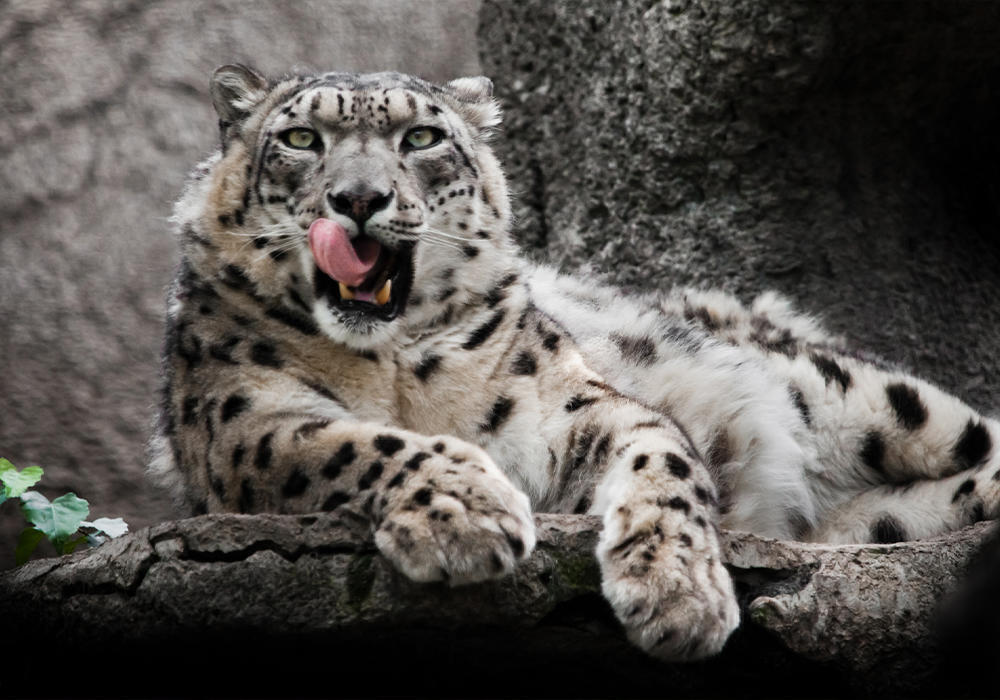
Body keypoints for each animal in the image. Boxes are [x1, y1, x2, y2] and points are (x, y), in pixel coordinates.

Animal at [148, 65, 1000, 661]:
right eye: (301, 140)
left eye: (421, 139)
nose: (358, 199)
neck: (390, 365)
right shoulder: (246, 422)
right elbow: (358, 442)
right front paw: (465, 512)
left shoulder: (572, 406)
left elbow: (665, 460)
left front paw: (678, 593)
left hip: (854, 393)